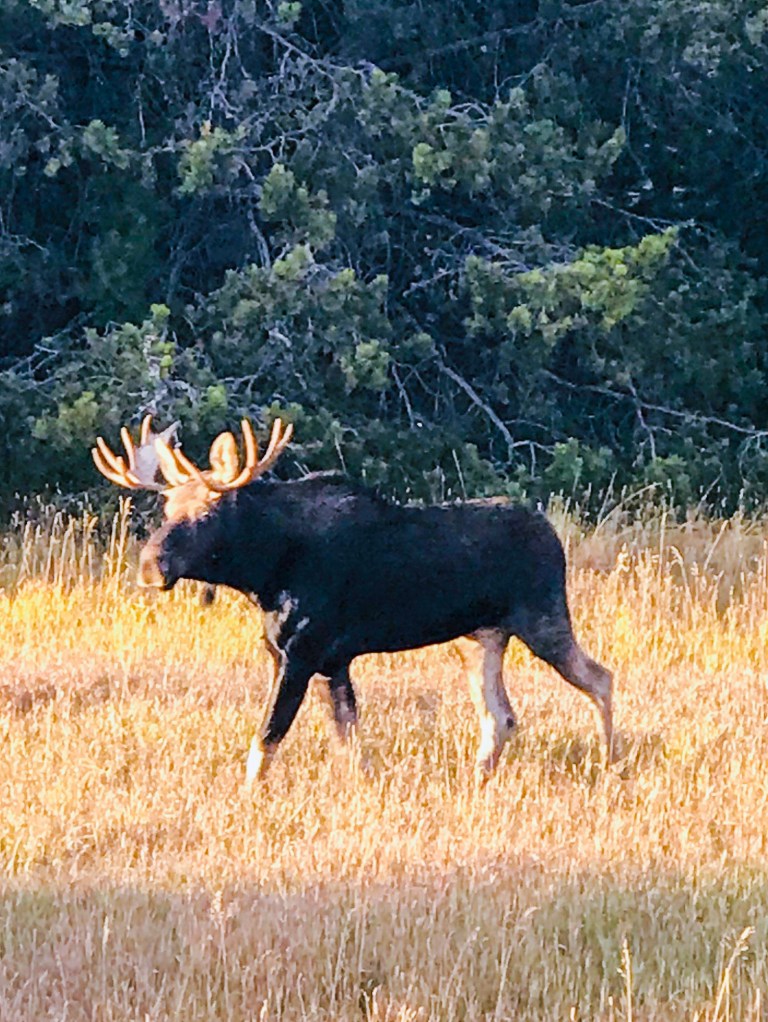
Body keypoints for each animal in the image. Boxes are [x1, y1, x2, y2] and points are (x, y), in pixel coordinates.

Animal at [92, 418, 613, 783]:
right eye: (166, 507)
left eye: (208, 510)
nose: (151, 565)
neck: (264, 572)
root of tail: (553, 535)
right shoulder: (329, 659)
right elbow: (347, 739)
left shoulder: (301, 653)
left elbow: (267, 737)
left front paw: (247, 797)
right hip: (480, 638)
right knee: (499, 716)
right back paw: (479, 776)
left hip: (542, 619)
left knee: (600, 678)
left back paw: (613, 760)